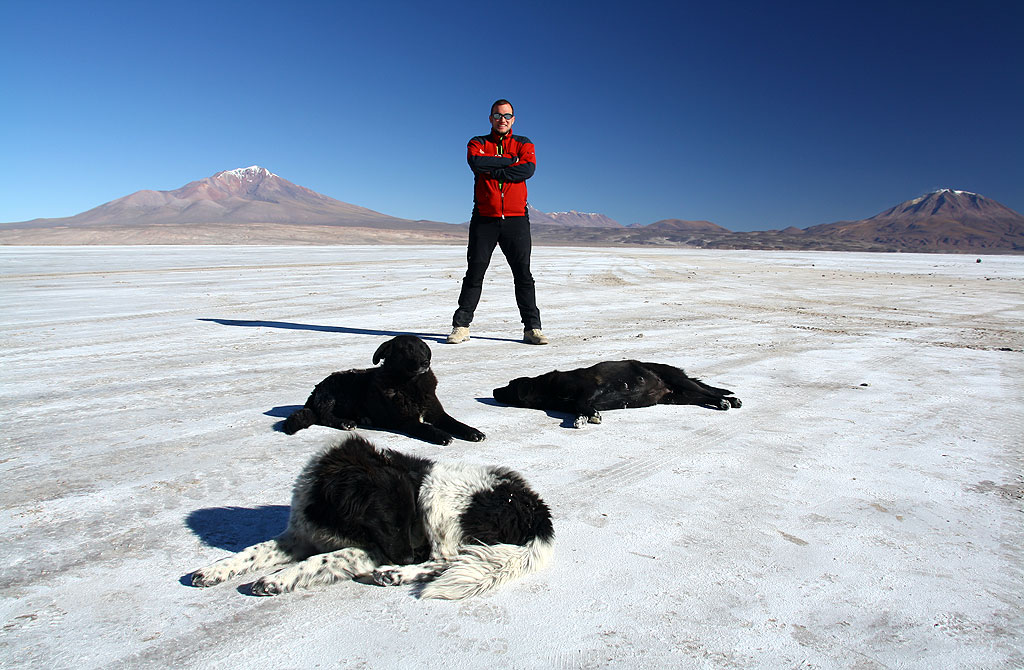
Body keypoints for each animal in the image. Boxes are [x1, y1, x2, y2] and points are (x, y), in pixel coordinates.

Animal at [282, 336, 485, 446]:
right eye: (406, 350)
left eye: (423, 349)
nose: (425, 362)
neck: (411, 385)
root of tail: (315, 390)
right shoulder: (407, 421)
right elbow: (426, 427)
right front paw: (441, 435)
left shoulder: (438, 414)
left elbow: (456, 423)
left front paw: (473, 432)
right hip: (336, 390)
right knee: (324, 416)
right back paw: (345, 423)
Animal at [491, 362, 741, 430]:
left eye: (509, 385)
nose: (493, 390)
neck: (547, 388)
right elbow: (576, 408)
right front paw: (581, 418)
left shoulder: (590, 388)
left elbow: (581, 403)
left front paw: (591, 415)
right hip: (677, 397)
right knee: (703, 397)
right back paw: (724, 402)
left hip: (679, 380)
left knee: (709, 391)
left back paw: (729, 400)